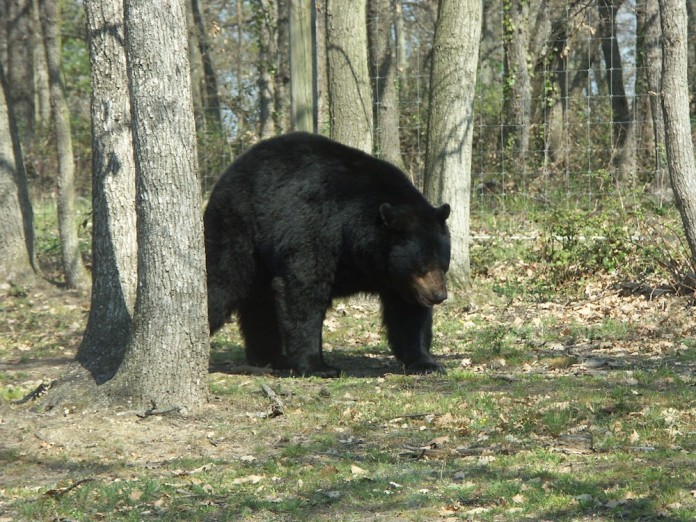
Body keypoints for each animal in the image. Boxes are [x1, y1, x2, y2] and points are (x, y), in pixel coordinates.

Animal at [204, 132, 452, 376]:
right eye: (422, 266)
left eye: (443, 264)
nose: (439, 295)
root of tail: (230, 171)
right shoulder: (315, 228)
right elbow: (304, 289)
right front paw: (318, 366)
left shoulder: (395, 276)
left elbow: (408, 311)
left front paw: (425, 362)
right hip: (238, 228)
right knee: (222, 284)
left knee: (261, 303)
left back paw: (271, 358)